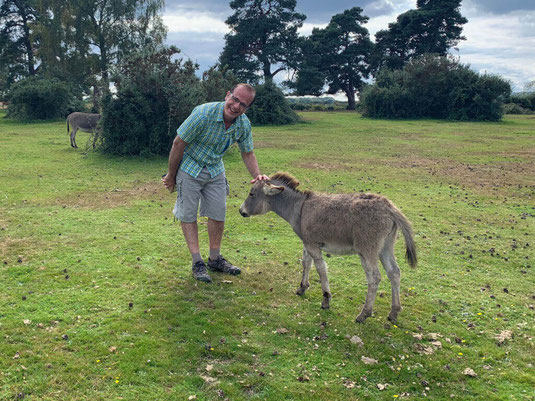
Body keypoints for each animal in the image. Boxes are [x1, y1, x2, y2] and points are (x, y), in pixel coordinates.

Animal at [240, 172, 418, 322]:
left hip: (367, 250)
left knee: (374, 277)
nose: (241, 211)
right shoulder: (307, 242)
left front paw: (326, 299)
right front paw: (302, 288)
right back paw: (394, 312)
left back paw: (364, 313)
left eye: (252, 194)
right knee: (394, 273)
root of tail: (389, 208)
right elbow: (306, 263)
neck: (298, 207)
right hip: (386, 247)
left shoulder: (312, 245)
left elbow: (321, 269)